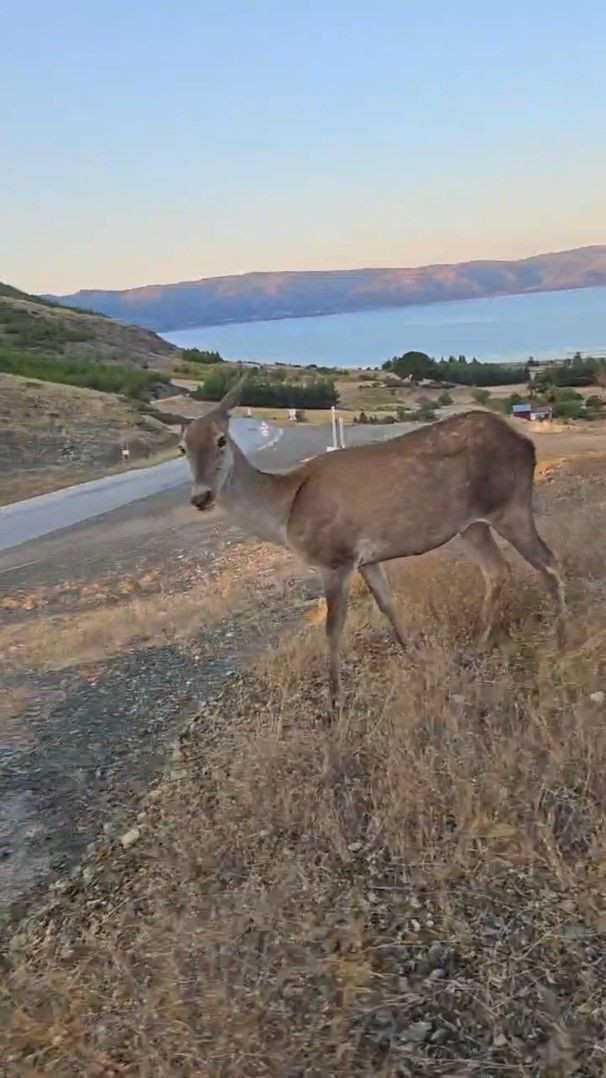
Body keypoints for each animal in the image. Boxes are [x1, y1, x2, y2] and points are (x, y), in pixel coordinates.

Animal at [177, 379, 560, 715]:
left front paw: (334, 701)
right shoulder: (366, 559)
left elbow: (333, 629)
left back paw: (560, 628)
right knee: (497, 571)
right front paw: (413, 653)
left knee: (548, 560)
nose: (200, 497)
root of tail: (527, 444)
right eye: (183, 448)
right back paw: (479, 642)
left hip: (509, 503)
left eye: (221, 439)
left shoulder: (336, 558)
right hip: (472, 524)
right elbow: (387, 604)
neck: (285, 511)